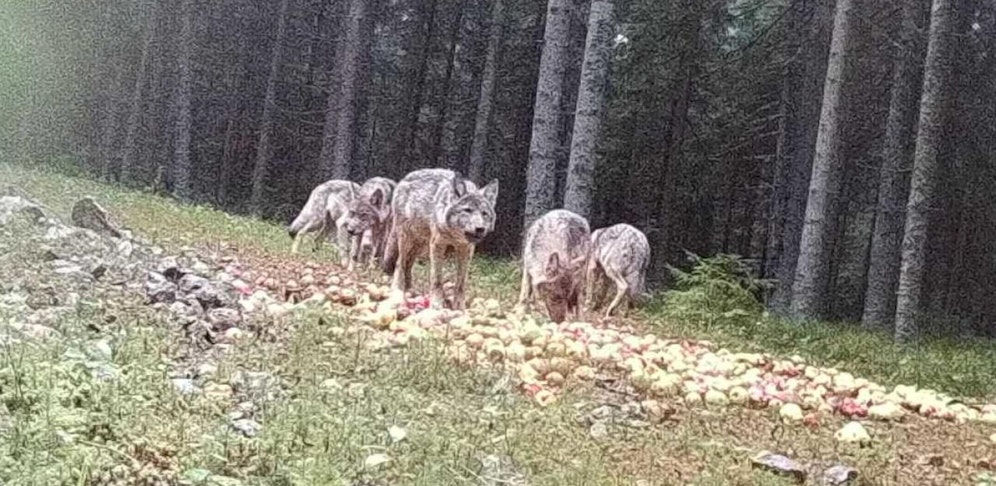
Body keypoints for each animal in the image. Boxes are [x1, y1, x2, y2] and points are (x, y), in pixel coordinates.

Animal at [381, 169, 499, 310]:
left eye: (484, 213)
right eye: (467, 210)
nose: (480, 228)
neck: (455, 236)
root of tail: (405, 178)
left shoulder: (466, 250)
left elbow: (461, 283)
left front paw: (460, 308)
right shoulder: (438, 246)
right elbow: (437, 279)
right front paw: (437, 304)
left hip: (420, 246)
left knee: (408, 265)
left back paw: (410, 290)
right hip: (407, 240)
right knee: (400, 263)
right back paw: (398, 290)